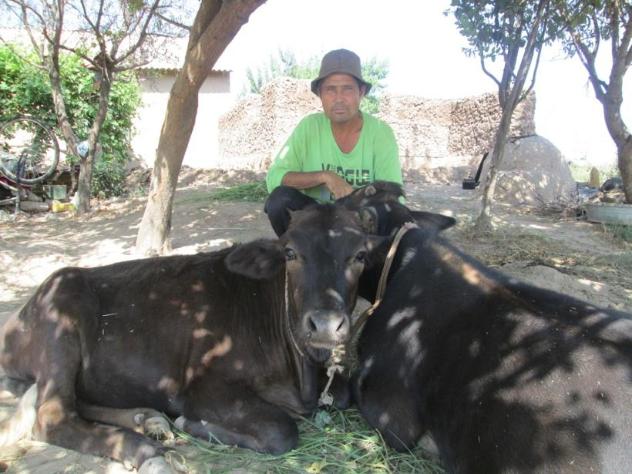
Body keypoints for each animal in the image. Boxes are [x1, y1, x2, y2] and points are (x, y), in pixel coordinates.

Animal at [0, 203, 381, 473]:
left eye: (360, 255)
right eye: (290, 253)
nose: (326, 324)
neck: (300, 373)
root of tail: (18, 317)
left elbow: (343, 394)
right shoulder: (202, 387)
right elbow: (281, 430)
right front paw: (192, 424)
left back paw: (146, 419)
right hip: (62, 312)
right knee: (52, 417)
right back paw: (145, 450)